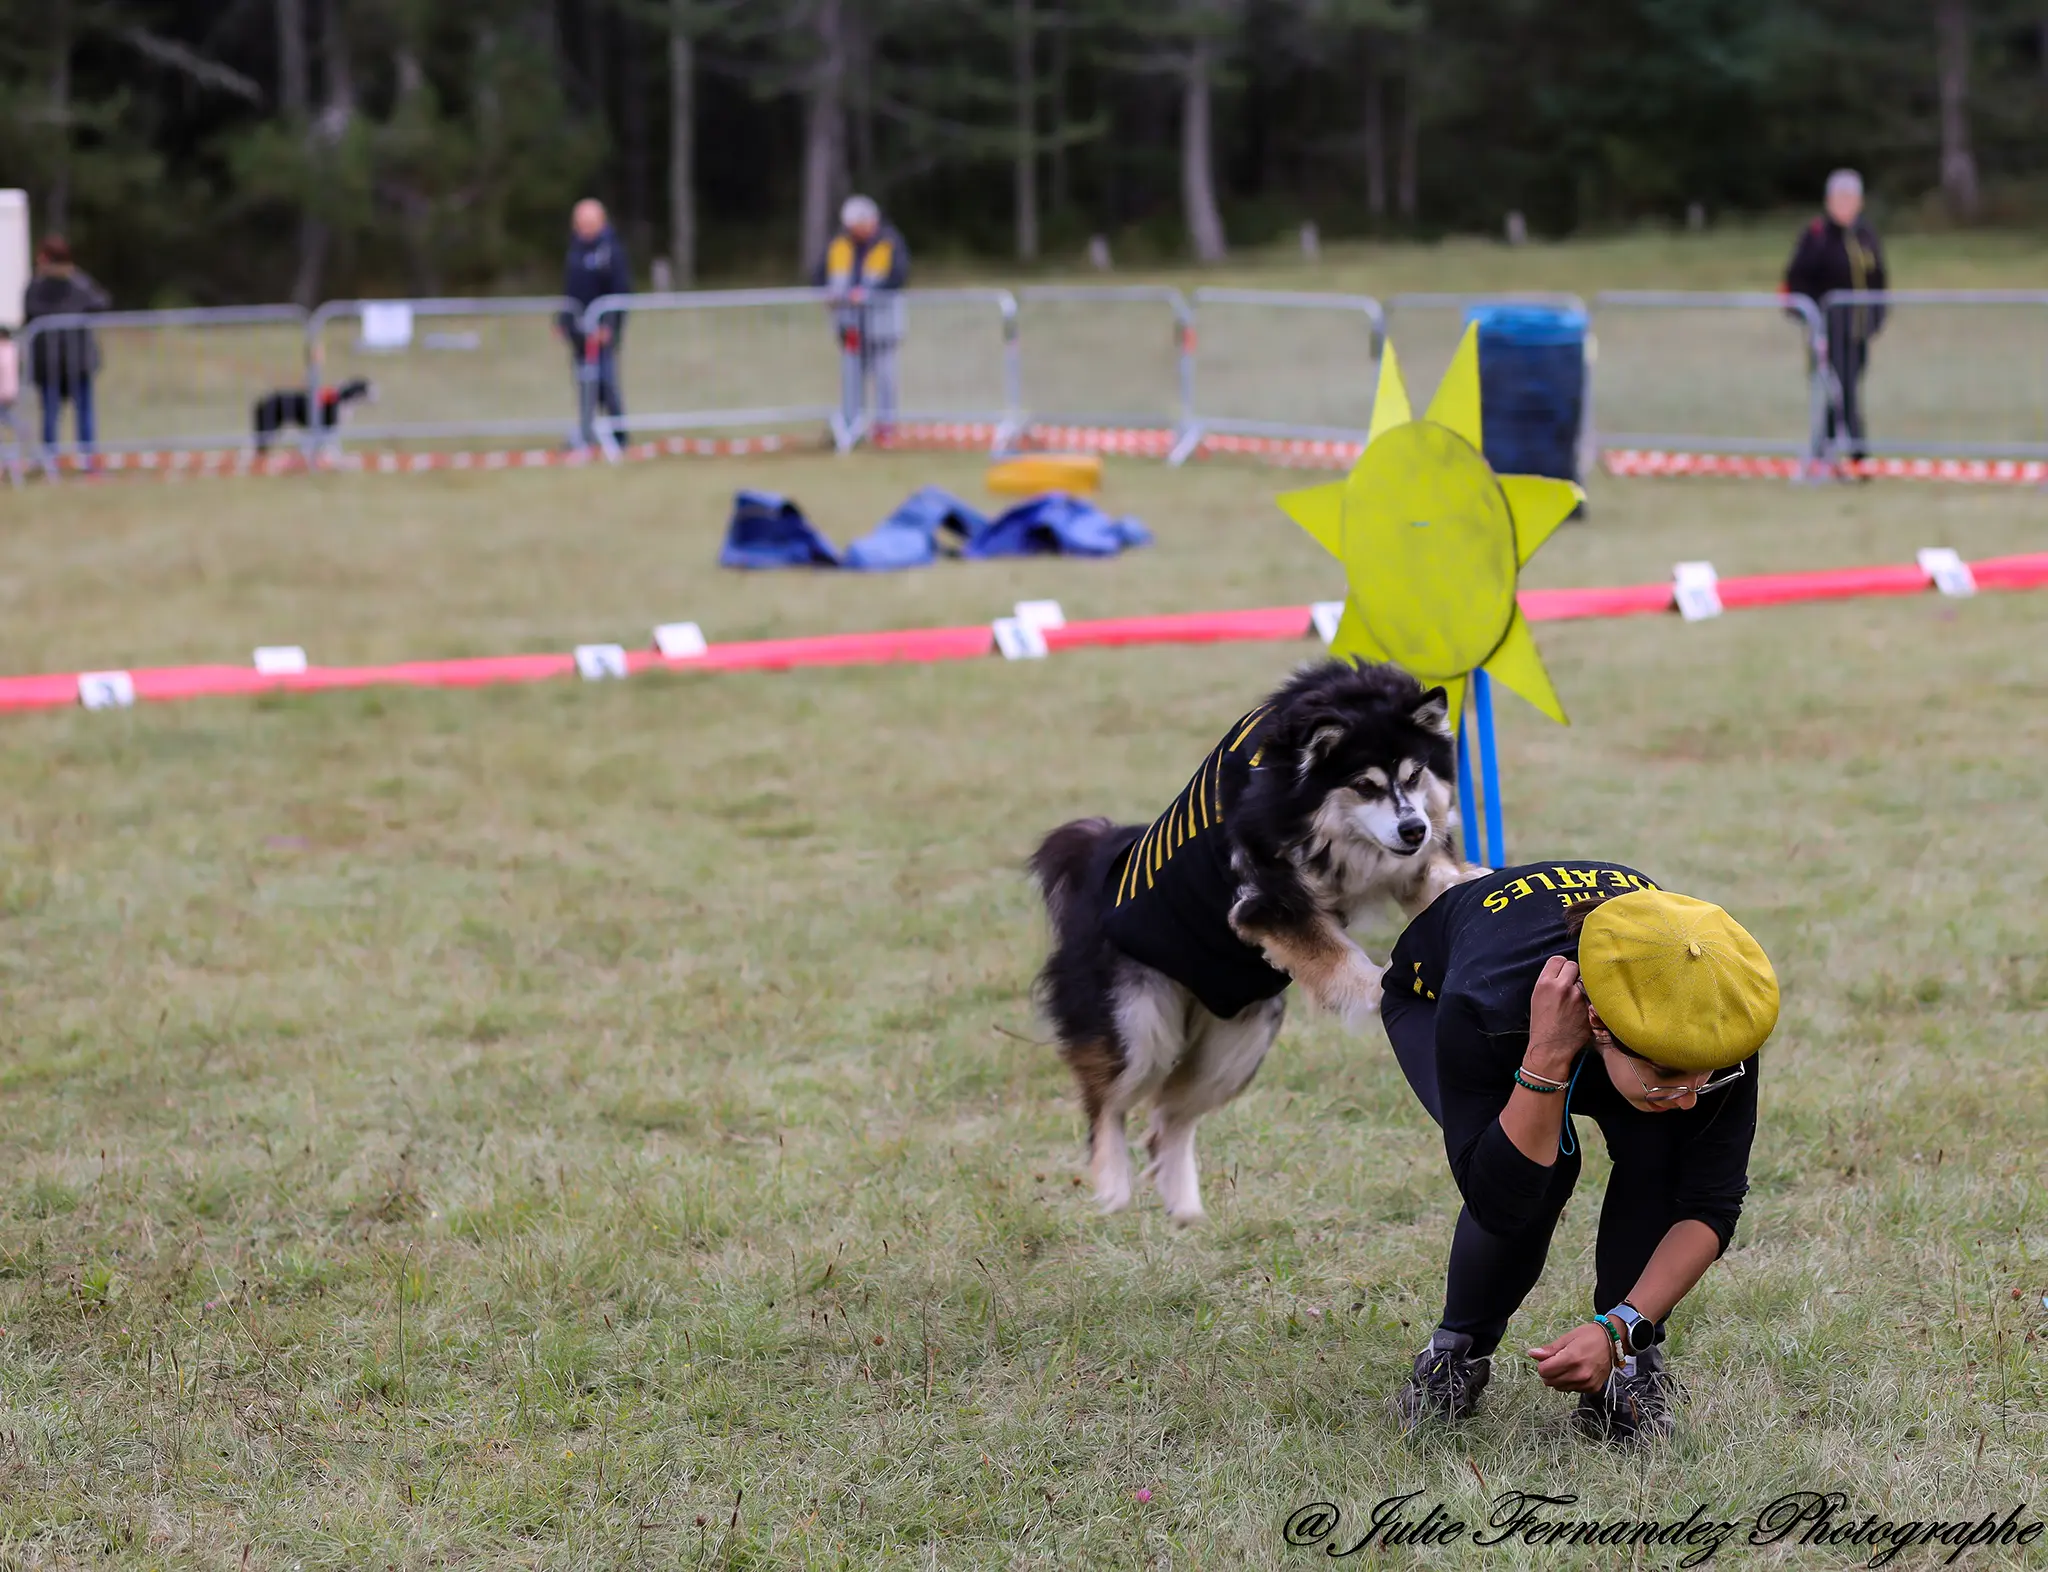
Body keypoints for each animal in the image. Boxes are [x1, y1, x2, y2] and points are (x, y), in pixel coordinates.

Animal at [1032, 655, 1482, 1219]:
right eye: (1364, 785)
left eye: (1416, 775)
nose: (1414, 829)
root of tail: (1096, 875)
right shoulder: (1266, 905)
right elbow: (1343, 960)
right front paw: (1381, 990)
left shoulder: (1405, 864)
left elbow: (1438, 881)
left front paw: (1477, 883)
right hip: (1139, 1025)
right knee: (1107, 1102)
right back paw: (1113, 1189)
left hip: (1237, 1045)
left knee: (1167, 1117)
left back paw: (1185, 1214)